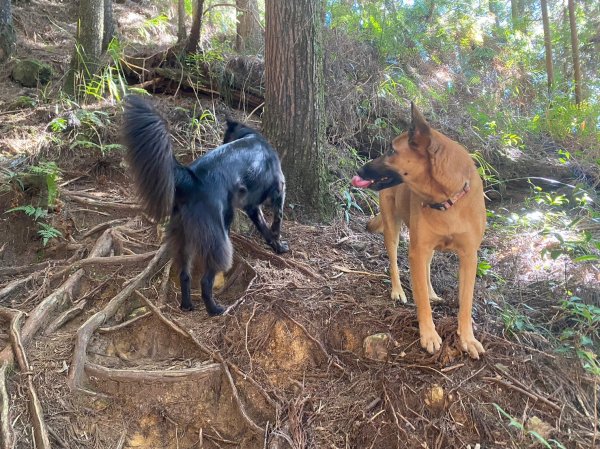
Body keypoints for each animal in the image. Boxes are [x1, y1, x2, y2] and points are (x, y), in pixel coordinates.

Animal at [122, 96, 288, 314]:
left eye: (225, 138)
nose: (221, 143)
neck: (251, 135)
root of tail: (191, 180)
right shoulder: (279, 188)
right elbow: (277, 219)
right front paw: (279, 244)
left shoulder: (252, 206)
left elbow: (263, 227)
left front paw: (273, 244)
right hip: (217, 238)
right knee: (205, 279)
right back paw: (214, 309)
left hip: (182, 237)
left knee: (184, 274)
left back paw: (187, 305)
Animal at [354, 102, 486, 356]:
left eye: (391, 150)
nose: (360, 170)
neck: (447, 199)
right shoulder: (417, 250)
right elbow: (421, 299)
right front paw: (429, 334)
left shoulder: (469, 256)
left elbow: (465, 303)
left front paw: (467, 338)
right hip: (392, 228)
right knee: (394, 261)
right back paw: (398, 290)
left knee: (426, 268)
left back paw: (433, 292)